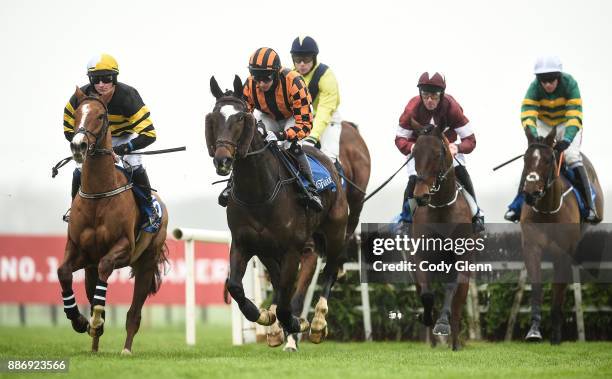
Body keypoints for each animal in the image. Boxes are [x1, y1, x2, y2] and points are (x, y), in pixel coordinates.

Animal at [57, 87, 169, 354]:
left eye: (100, 115)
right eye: (77, 113)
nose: (78, 145)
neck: (99, 194)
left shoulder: (124, 247)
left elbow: (106, 266)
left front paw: (96, 317)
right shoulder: (79, 251)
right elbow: (63, 271)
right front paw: (79, 320)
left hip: (146, 263)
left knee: (134, 314)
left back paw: (125, 349)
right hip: (89, 269)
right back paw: (94, 346)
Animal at [206, 76, 350, 344]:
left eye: (240, 118)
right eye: (214, 117)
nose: (223, 160)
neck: (258, 194)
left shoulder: (292, 248)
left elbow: (285, 298)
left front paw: (295, 322)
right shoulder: (244, 243)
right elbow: (235, 286)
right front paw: (264, 316)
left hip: (336, 232)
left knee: (330, 271)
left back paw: (317, 322)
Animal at [406, 120, 474, 352]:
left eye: (437, 154)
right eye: (414, 153)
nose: (421, 196)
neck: (442, 209)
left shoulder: (461, 258)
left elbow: (452, 291)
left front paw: (443, 325)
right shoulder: (421, 257)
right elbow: (427, 295)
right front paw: (426, 318)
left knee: (457, 302)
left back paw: (453, 339)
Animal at [516, 126, 604, 346]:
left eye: (549, 160)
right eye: (526, 159)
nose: (530, 192)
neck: (548, 209)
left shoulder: (564, 252)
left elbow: (559, 291)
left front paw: (555, 335)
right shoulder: (532, 247)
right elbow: (537, 287)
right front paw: (534, 330)